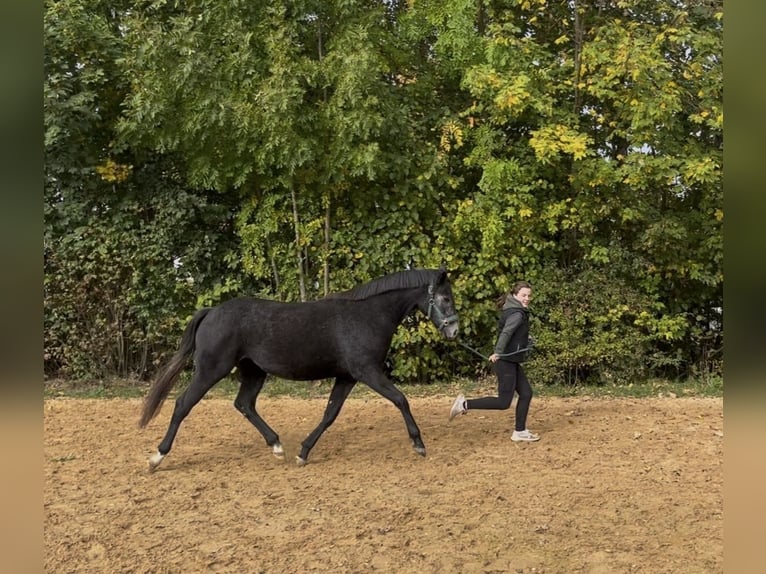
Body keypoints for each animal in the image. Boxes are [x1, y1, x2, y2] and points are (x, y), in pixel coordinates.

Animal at [139, 268, 459, 470]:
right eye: (445, 298)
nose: (454, 330)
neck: (367, 315)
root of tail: (211, 312)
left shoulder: (346, 377)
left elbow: (330, 414)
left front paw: (303, 453)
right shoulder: (366, 371)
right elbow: (401, 399)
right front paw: (419, 444)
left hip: (254, 372)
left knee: (244, 404)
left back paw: (277, 447)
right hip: (210, 370)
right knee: (183, 404)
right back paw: (156, 457)